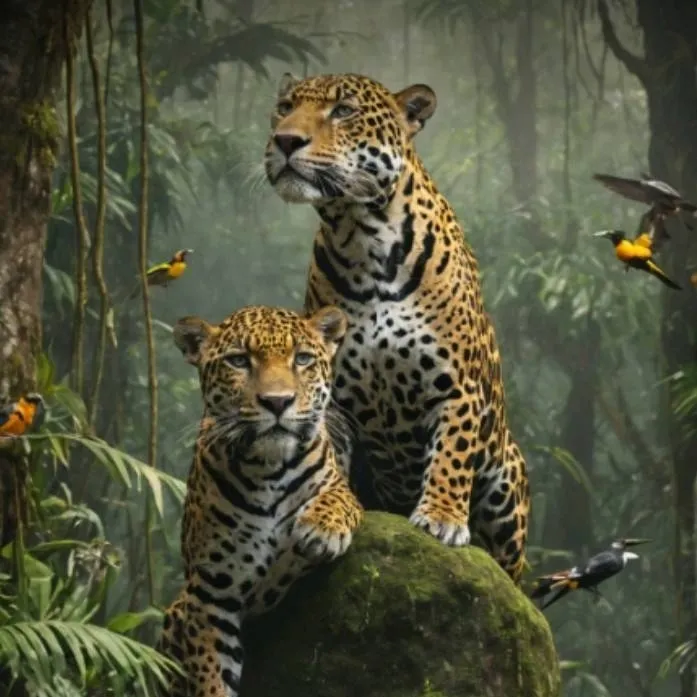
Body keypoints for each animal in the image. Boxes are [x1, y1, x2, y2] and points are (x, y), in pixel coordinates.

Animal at [158, 304, 363, 697]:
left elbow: (337, 498)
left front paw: (320, 530)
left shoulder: (339, 484)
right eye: (239, 360)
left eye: (302, 359)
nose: (278, 402)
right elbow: (210, 677)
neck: (268, 468)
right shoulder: (209, 595)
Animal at [263, 72, 530, 583]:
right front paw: (327, 518)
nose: (285, 140)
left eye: (343, 111)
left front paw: (442, 517)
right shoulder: (334, 400)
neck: (361, 235)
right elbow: (330, 466)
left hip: (507, 479)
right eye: (284, 108)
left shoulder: (457, 388)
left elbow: (451, 453)